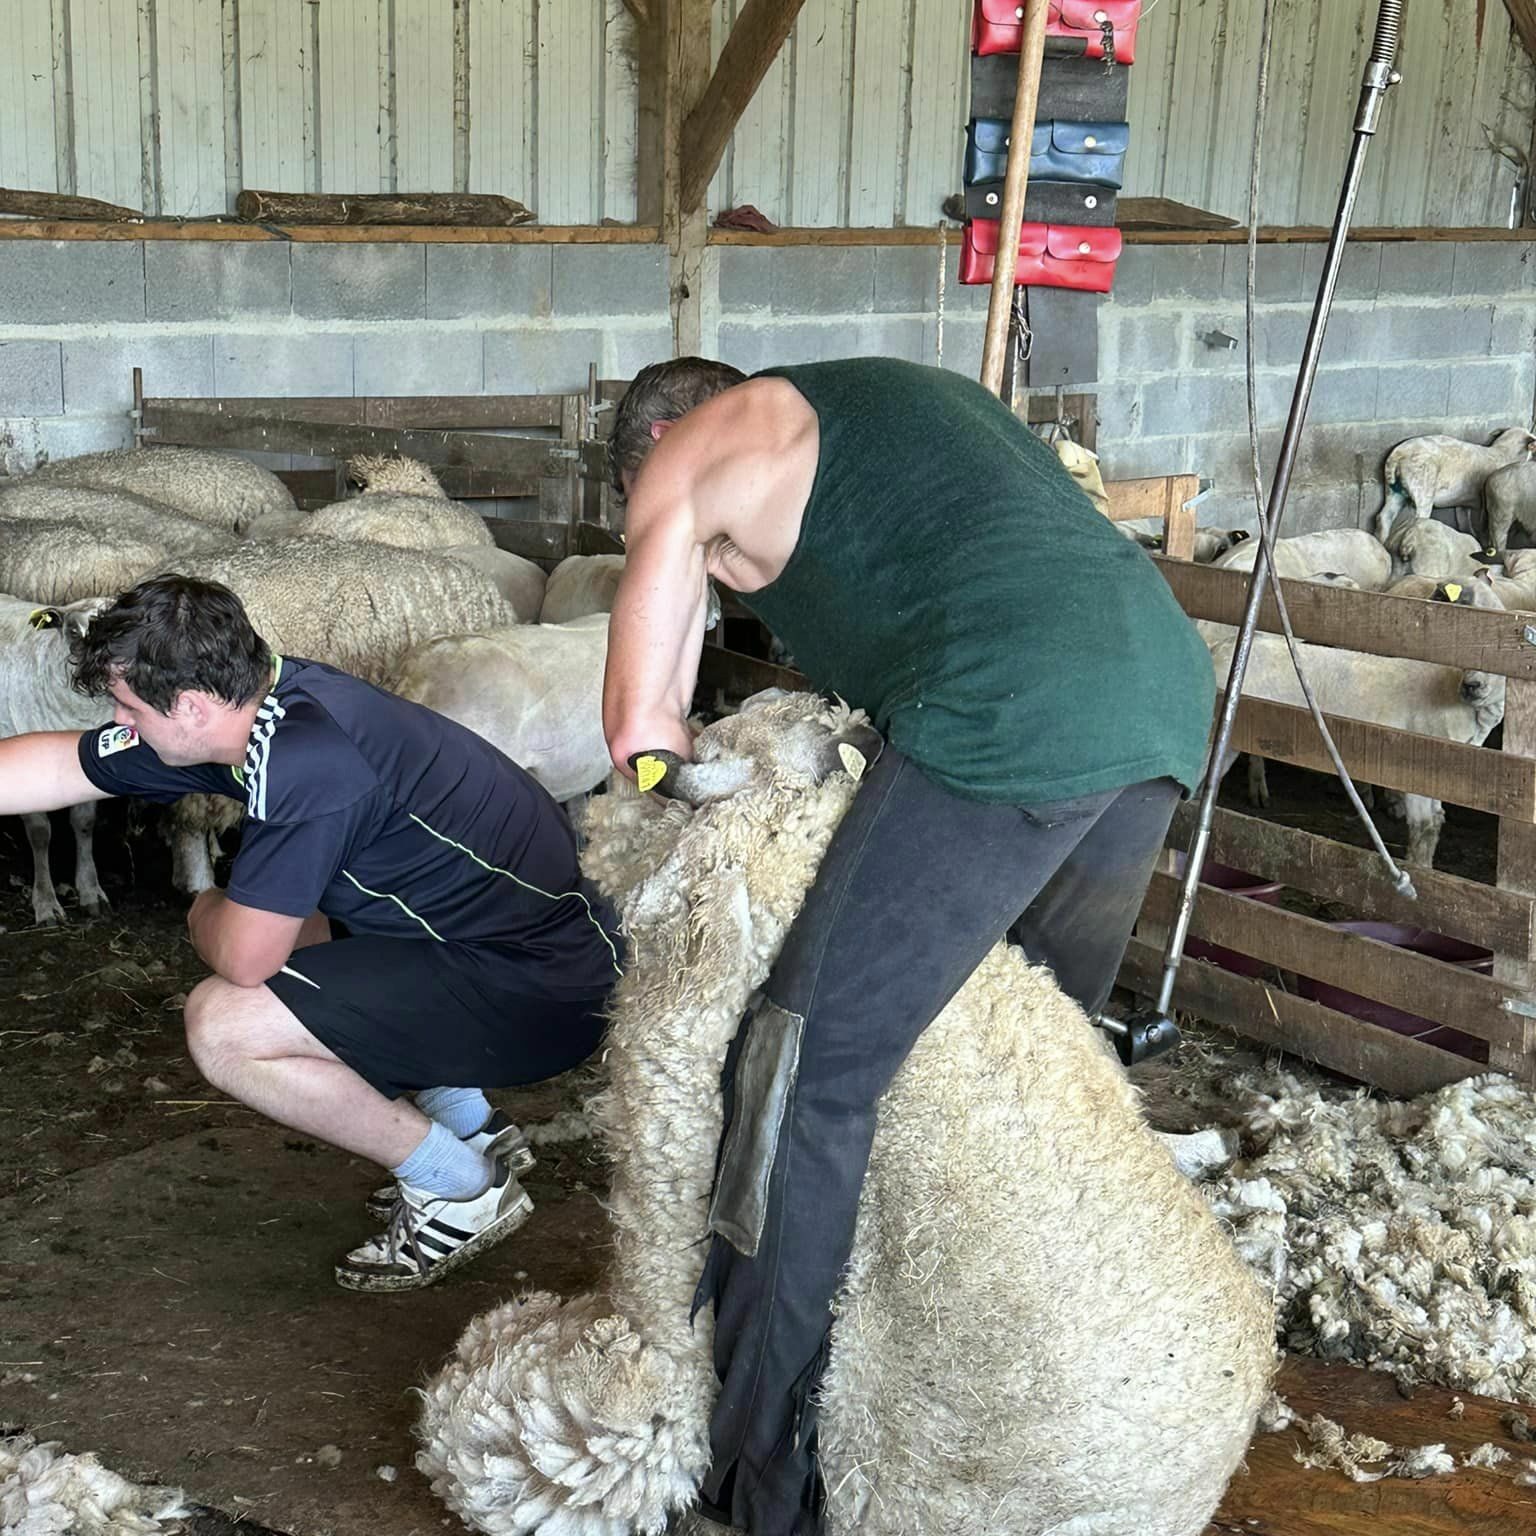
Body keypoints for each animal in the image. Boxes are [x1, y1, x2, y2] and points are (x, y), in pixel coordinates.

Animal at [1376, 430, 1529, 543]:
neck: (1503, 453)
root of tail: (1397, 456)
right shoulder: (1488, 504)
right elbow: (1484, 527)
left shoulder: (1463, 503)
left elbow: (1464, 523)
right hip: (1422, 486)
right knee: (1418, 518)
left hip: (1393, 491)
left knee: (1383, 517)